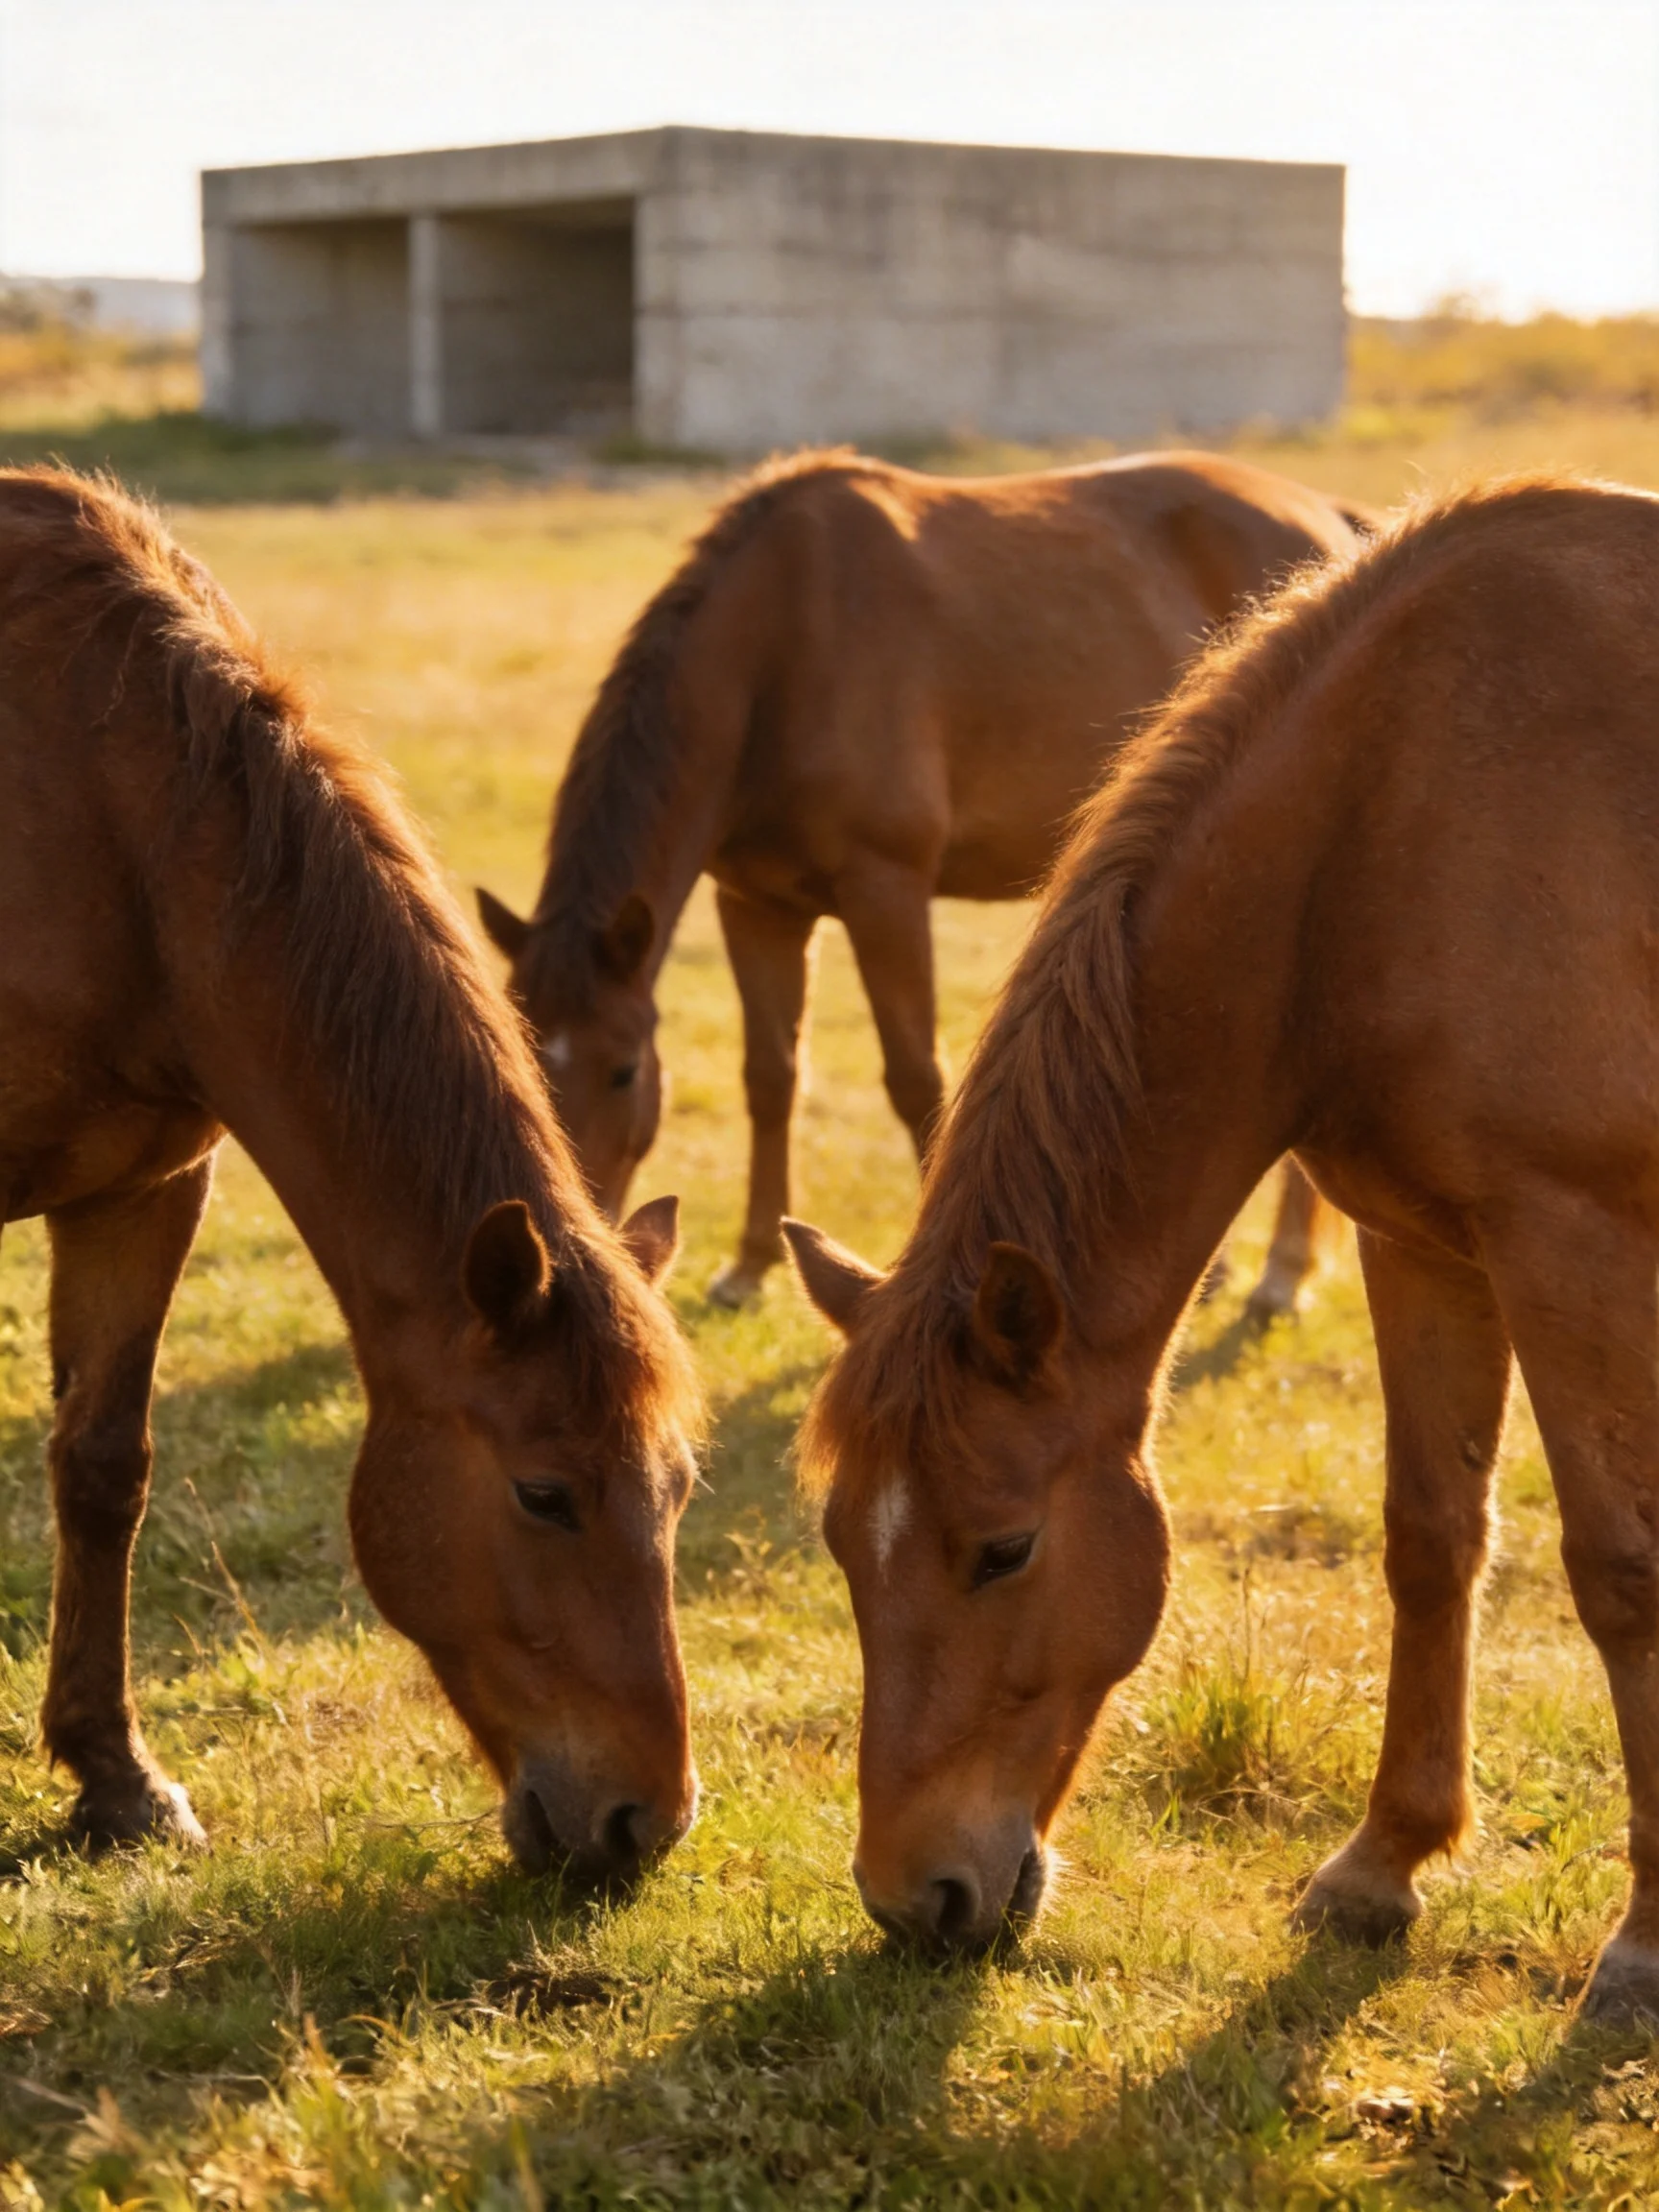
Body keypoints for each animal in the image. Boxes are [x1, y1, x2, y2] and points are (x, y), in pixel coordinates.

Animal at [0, 468, 701, 1885]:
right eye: (544, 1495)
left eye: (678, 1490)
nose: (644, 1825)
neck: (105, 818)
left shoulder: (142, 1193)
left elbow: (102, 1466)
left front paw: (116, 1779)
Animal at [476, 446, 1369, 1317]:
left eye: (625, 1070)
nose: (575, 1243)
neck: (781, 645)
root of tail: (1330, 519)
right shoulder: (757, 906)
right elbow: (771, 1077)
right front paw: (752, 1265)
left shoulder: (887, 893)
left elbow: (917, 1082)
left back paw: (1282, 1274)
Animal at [787, 474, 1659, 2026]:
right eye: (839, 1542)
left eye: (1004, 1550)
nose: (911, 1899)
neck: (1395, 812)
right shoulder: (1424, 1248)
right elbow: (1431, 1541)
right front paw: (1384, 1863)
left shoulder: (1575, 1249)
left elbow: (1622, 1571)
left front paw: (1650, 1938)